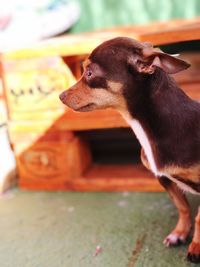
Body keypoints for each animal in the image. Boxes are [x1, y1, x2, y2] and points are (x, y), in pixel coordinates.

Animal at [59, 37, 200, 264]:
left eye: (89, 73)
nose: (60, 96)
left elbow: (199, 216)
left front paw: (196, 245)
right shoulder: (163, 178)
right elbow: (183, 207)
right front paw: (180, 233)